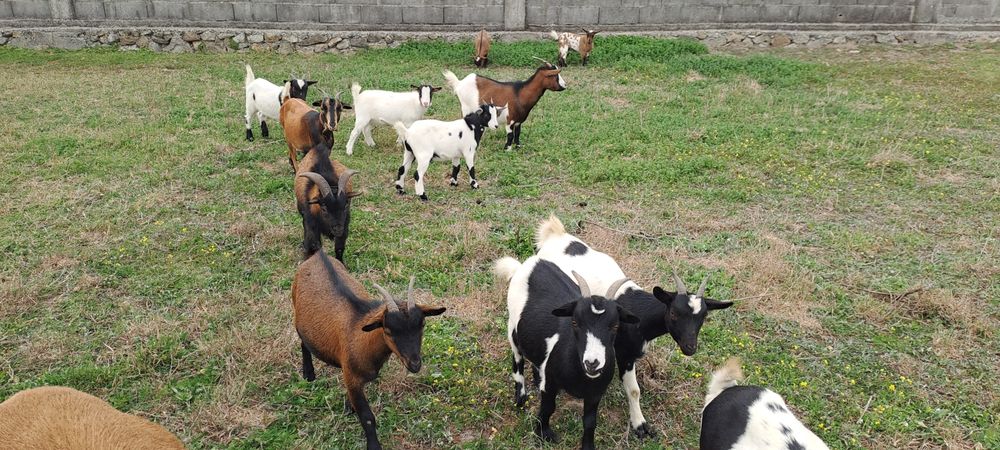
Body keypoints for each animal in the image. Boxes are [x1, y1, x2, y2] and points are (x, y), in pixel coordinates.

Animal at [293, 251, 446, 450]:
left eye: (423, 324)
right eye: (388, 331)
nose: (415, 363)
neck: (361, 337)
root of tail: (318, 254)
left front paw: (349, 407)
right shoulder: (352, 377)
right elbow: (367, 417)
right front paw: (373, 445)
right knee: (303, 342)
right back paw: (308, 374)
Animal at [494, 256, 638, 450]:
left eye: (615, 325)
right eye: (575, 322)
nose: (592, 363)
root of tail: (530, 263)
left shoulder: (595, 393)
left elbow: (590, 421)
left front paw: (588, 446)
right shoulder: (551, 385)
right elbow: (548, 408)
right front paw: (543, 434)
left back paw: (537, 378)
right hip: (512, 326)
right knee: (517, 359)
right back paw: (520, 397)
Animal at [533, 214, 733, 438]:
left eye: (704, 316)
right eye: (673, 313)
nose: (690, 348)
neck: (639, 315)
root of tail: (554, 233)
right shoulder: (625, 355)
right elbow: (634, 390)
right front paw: (640, 425)